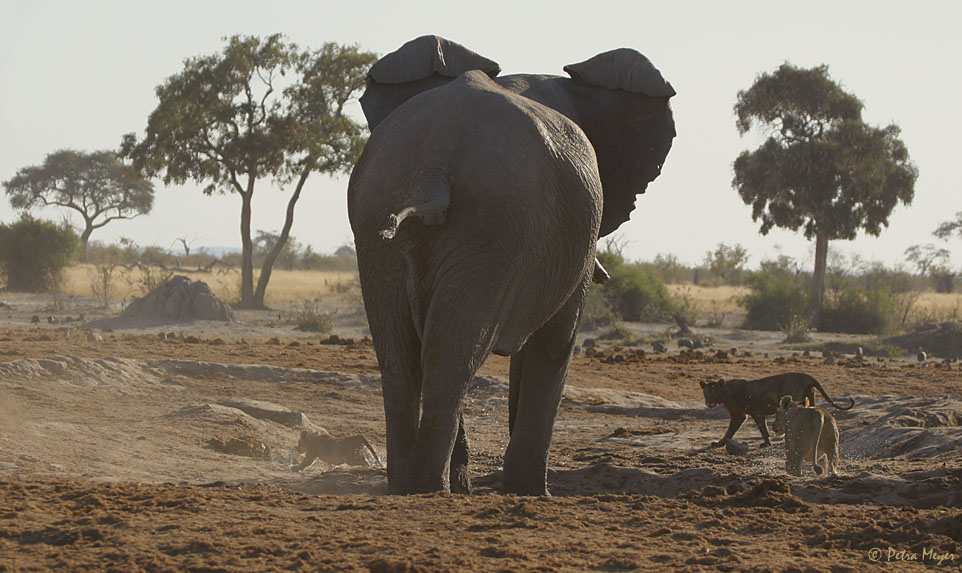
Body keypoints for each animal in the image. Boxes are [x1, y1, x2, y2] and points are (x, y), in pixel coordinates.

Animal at [346, 35, 676, 494]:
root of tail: (436, 161)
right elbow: (556, 342)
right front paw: (531, 492)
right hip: (494, 226)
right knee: (454, 357)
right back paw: (431, 490)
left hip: (378, 212)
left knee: (402, 359)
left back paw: (409, 488)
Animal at [700, 370, 852, 446]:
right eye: (706, 392)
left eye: (714, 392)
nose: (709, 402)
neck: (726, 394)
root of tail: (808, 376)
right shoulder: (738, 415)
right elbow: (730, 431)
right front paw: (720, 443)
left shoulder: (756, 411)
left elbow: (762, 428)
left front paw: (766, 443)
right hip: (810, 396)